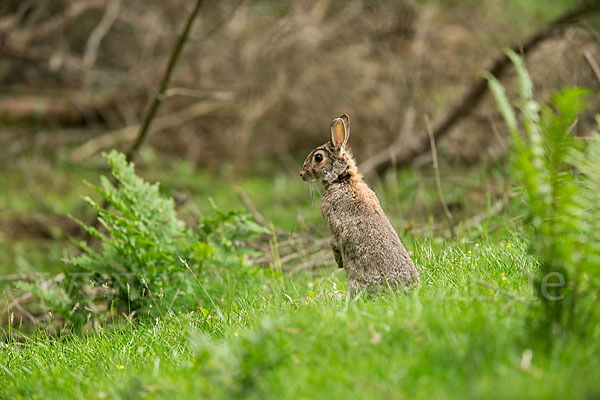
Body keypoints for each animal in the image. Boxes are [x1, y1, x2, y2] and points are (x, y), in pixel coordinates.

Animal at [298, 114, 420, 296]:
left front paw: (339, 263)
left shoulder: (334, 226)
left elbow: (334, 242)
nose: (302, 174)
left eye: (318, 157)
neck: (342, 179)